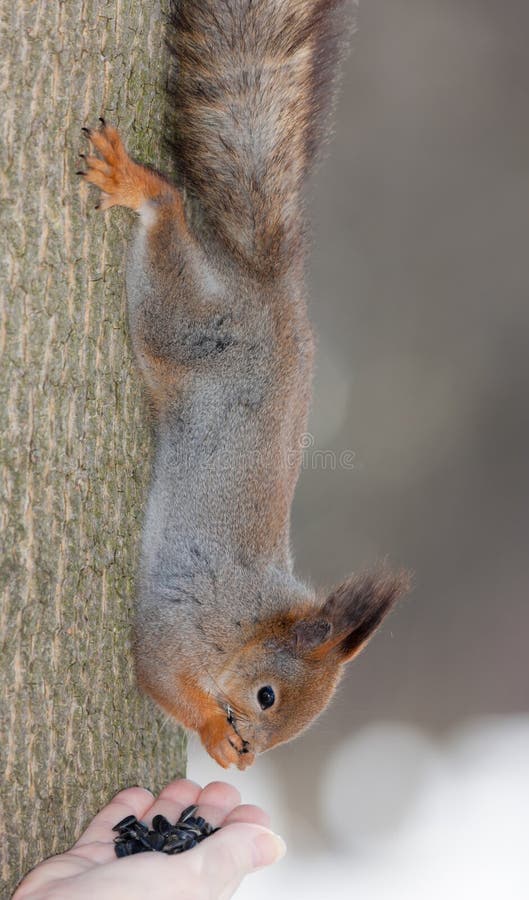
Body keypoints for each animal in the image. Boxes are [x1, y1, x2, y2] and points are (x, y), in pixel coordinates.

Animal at [79, 0, 409, 769]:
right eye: (266, 697)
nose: (255, 751)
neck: (254, 619)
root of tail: (270, 288)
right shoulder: (185, 618)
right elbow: (158, 671)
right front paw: (211, 732)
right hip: (187, 330)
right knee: (168, 214)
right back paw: (138, 184)